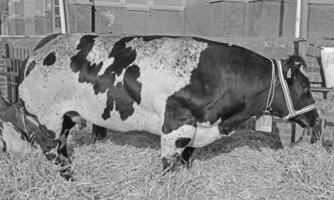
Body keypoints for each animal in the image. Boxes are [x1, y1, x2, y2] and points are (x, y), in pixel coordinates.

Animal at [17, 33, 318, 177]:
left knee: (62, 147)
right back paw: (67, 176)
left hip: (67, 116)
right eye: (305, 87)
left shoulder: (196, 130)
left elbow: (186, 160)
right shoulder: (176, 125)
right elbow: (170, 164)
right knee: (51, 150)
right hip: (47, 118)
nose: (316, 118)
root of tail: (44, 43)